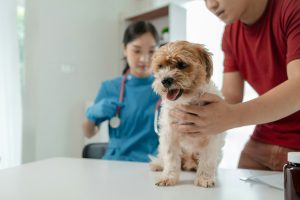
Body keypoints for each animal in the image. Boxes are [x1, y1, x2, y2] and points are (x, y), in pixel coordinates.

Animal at [150, 40, 225, 188]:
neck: (187, 101)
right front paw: (168, 177)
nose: (165, 80)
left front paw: (205, 178)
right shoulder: (169, 134)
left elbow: (208, 160)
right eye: (160, 66)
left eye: (181, 64)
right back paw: (158, 164)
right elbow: (171, 158)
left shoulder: (211, 136)